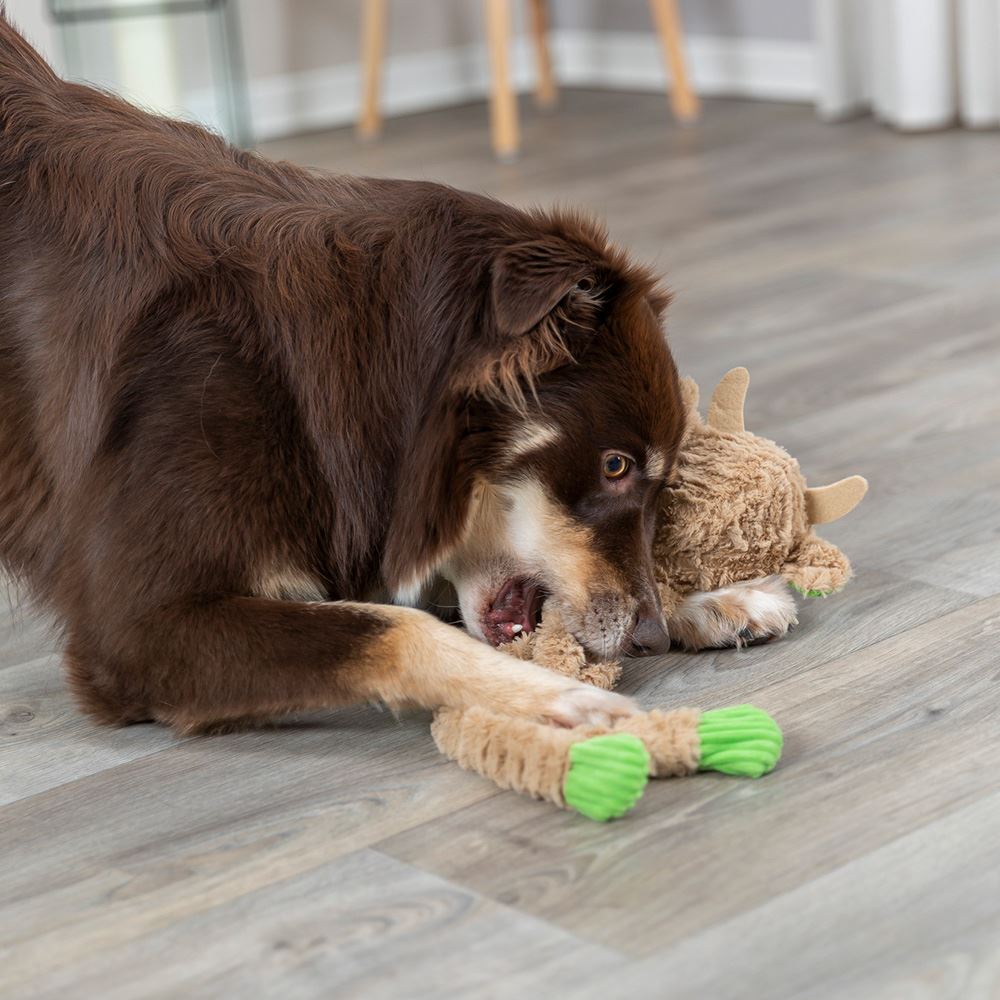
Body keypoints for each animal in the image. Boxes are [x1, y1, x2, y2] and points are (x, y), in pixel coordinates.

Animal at [1, 13, 796, 736]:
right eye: (615, 465)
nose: (650, 639)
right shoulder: (136, 627)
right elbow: (394, 625)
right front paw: (556, 696)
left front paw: (716, 602)